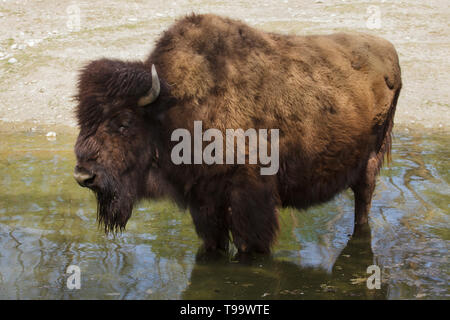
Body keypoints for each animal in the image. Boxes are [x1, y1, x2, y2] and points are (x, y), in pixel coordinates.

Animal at [73, 13, 400, 254]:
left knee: (363, 201)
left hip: (369, 162)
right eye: (82, 120)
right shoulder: (204, 202)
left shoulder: (250, 199)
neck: (173, 106)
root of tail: (390, 51)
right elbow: (214, 242)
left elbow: (250, 245)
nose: (83, 175)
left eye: (124, 121)